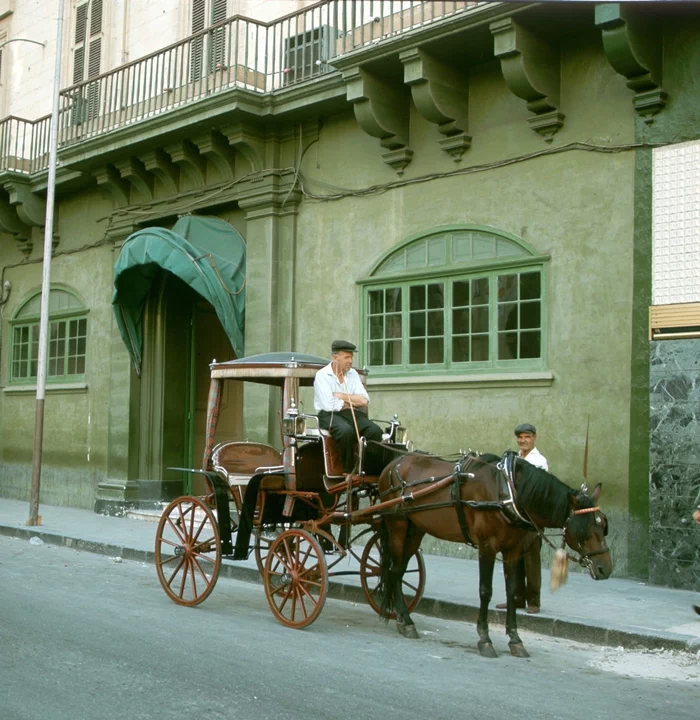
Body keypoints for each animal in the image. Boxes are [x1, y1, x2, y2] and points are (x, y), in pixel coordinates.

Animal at [374, 450, 608, 660]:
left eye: (604, 525)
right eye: (585, 530)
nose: (606, 568)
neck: (508, 491)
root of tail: (393, 464)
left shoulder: (513, 550)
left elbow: (512, 592)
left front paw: (515, 640)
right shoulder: (487, 547)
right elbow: (485, 591)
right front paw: (485, 639)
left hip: (415, 529)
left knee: (398, 571)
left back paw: (402, 618)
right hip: (397, 525)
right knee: (394, 570)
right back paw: (406, 621)